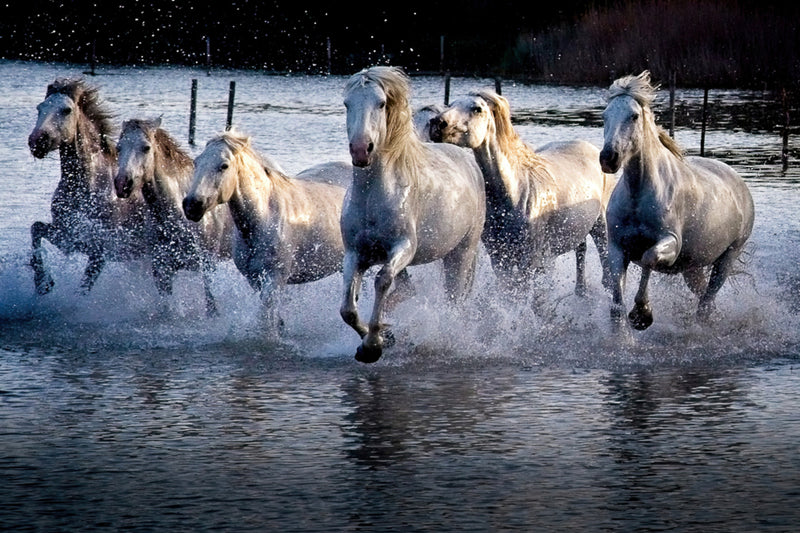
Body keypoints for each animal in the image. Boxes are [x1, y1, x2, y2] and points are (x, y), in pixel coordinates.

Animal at [28, 77, 149, 295]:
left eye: (66, 110)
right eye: (39, 107)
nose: (37, 142)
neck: (87, 187)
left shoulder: (98, 251)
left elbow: (84, 289)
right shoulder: (67, 237)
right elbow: (36, 229)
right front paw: (43, 283)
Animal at [182, 129, 349, 330]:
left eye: (224, 165)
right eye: (196, 162)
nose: (192, 205)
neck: (265, 218)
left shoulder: (275, 279)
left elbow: (265, 320)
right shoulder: (255, 279)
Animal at [341, 66, 486, 363]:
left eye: (381, 103)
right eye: (347, 103)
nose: (361, 150)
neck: (373, 195)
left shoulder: (404, 247)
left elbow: (382, 280)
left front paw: (373, 346)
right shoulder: (355, 253)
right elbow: (347, 307)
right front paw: (380, 340)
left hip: (462, 253)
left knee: (454, 299)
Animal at [429, 89, 614, 298]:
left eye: (477, 109)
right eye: (451, 104)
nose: (437, 124)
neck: (515, 193)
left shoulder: (529, 260)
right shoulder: (499, 258)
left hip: (600, 224)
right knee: (581, 250)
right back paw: (580, 291)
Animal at [598, 71, 754, 333]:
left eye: (634, 116)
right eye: (605, 116)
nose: (609, 158)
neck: (638, 195)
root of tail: (740, 185)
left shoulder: (670, 242)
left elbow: (649, 258)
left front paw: (642, 314)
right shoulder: (617, 247)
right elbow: (616, 300)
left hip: (728, 258)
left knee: (706, 302)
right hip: (693, 267)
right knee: (704, 299)